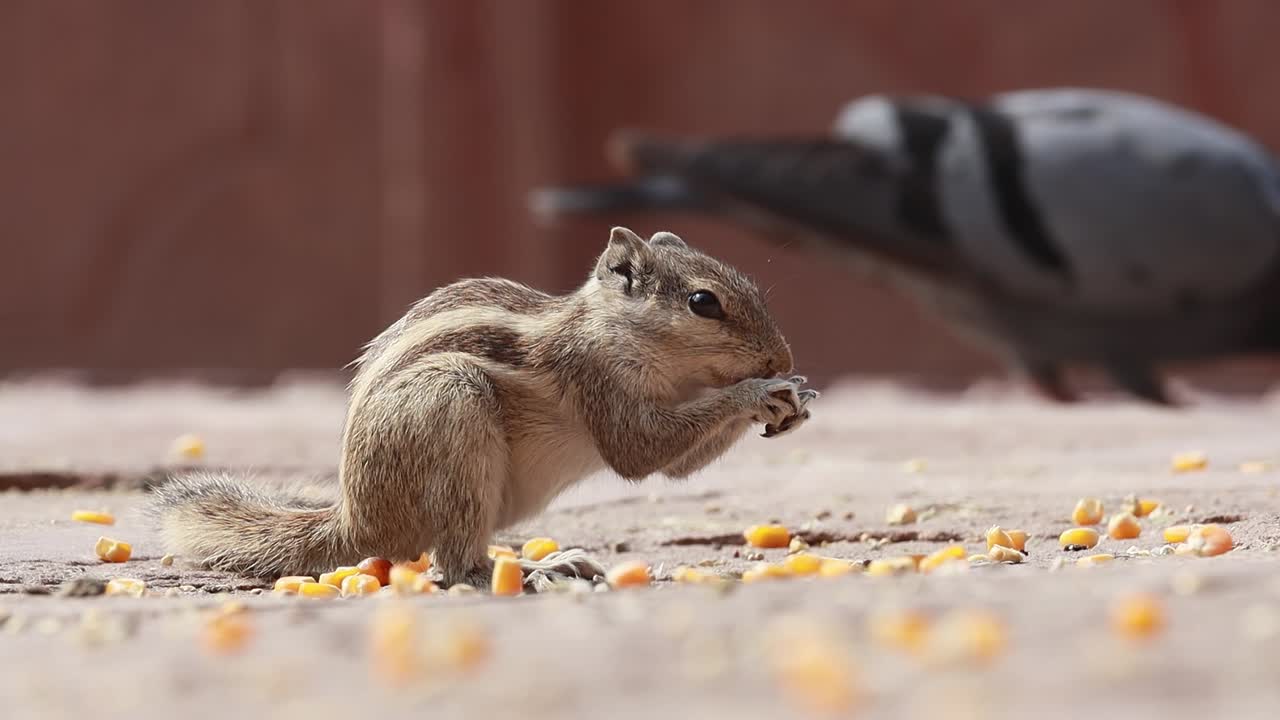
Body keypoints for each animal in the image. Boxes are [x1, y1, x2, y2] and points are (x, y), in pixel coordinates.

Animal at [152, 227, 817, 588]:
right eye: (704, 303)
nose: (781, 355)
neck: (609, 328)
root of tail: (356, 520)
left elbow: (674, 464)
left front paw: (795, 401)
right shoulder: (599, 382)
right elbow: (641, 451)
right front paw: (757, 394)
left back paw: (553, 561)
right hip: (452, 407)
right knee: (454, 564)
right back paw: (525, 575)